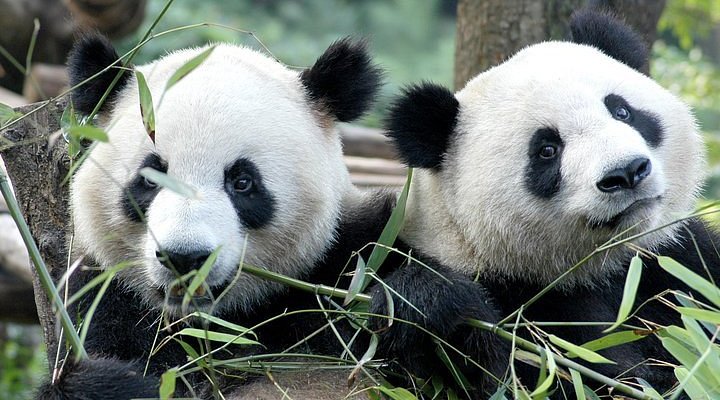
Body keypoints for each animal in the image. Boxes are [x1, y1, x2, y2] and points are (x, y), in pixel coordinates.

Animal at [38, 34, 392, 399]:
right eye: (150, 179)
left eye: (242, 182)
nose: (184, 257)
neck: (216, 325)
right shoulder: (106, 302)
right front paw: (110, 382)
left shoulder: (345, 259)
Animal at [377, 9, 720, 397]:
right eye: (546, 150)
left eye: (622, 111)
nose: (626, 172)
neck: (596, 269)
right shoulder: (524, 303)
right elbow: (537, 374)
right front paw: (430, 302)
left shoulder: (676, 263)